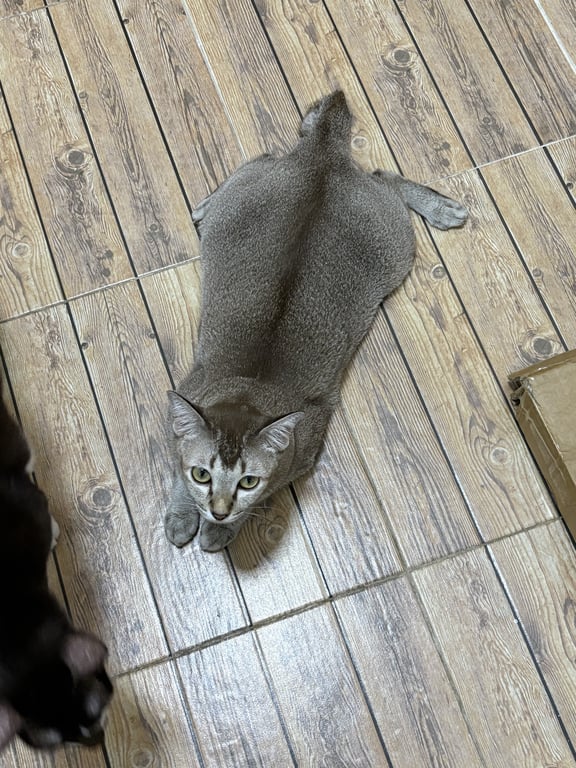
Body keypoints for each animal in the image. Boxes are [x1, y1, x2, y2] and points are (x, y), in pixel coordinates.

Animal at [165, 90, 467, 553]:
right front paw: (185, 513)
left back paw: (440, 206)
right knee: (271, 160)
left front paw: (220, 528)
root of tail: (322, 157)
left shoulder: (304, 445)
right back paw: (205, 204)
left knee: (383, 176)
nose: (218, 510)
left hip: (394, 241)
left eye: (248, 481)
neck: (250, 388)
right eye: (204, 473)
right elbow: (179, 463)